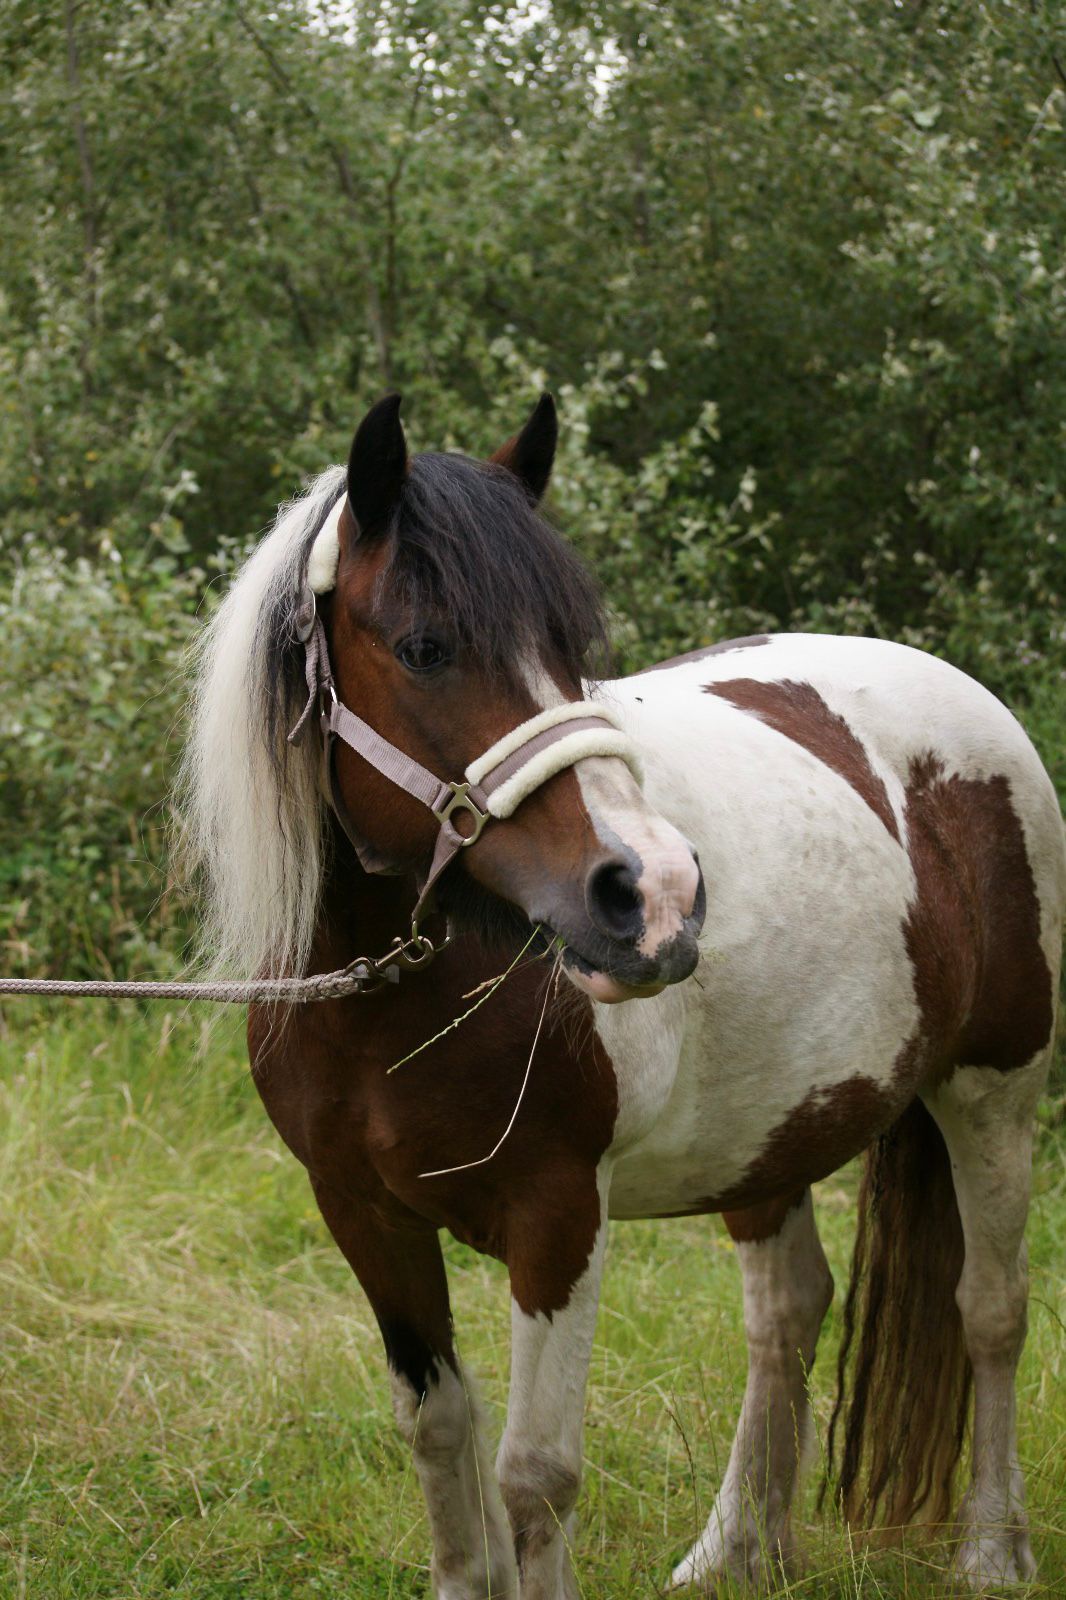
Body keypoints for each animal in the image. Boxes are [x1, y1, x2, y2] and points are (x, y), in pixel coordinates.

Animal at [179, 392, 1064, 1598]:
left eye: (571, 651)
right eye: (423, 647)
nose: (657, 894)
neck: (391, 1004)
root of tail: (962, 698)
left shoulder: (559, 1215)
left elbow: (535, 1473)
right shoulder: (362, 1214)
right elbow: (441, 1434)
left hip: (993, 1090)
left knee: (989, 1309)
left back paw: (991, 1548)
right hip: (769, 1136)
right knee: (787, 1314)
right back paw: (737, 1548)